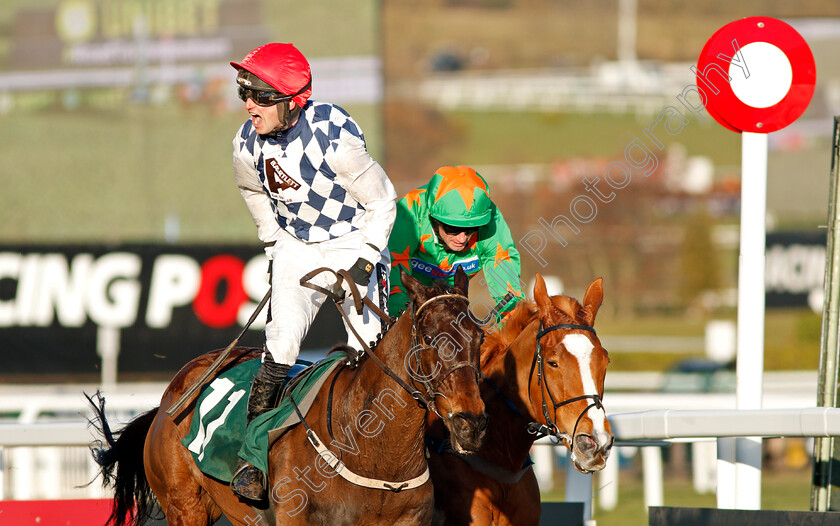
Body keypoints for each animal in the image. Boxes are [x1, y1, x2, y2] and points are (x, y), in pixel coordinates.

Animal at [90, 270, 486, 524]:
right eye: (431, 339)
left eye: (479, 337)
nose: (471, 422)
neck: (371, 452)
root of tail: (168, 399)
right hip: (184, 504)